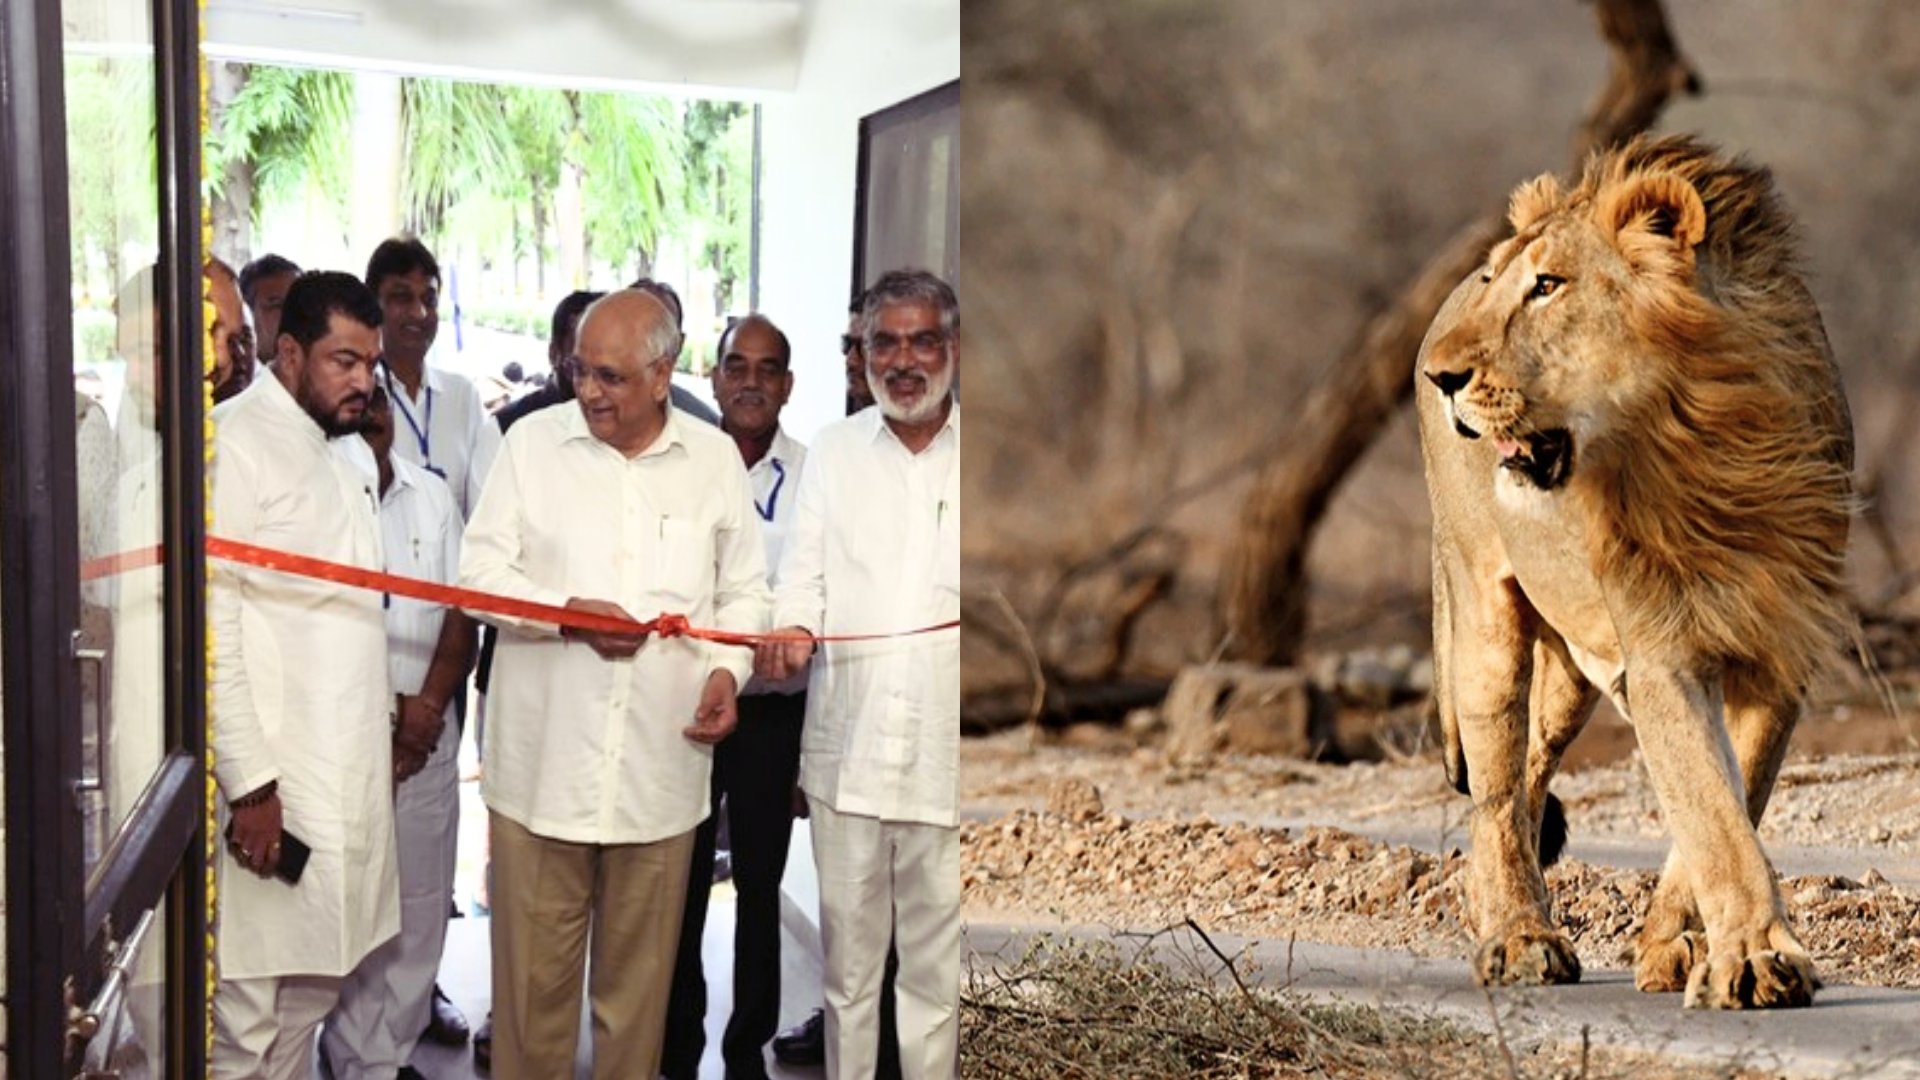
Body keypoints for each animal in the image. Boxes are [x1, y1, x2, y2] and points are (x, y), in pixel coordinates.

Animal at [1420, 136, 1850, 1006]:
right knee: (1494, 791)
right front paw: (1756, 959)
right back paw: (1518, 939)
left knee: (1529, 775)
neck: (1708, 450)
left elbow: (1728, 796)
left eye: (1548, 286)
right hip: (1483, 614)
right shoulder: (1661, 650)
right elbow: (1713, 807)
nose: (1440, 380)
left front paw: (1679, 946)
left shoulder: (1779, 653)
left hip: (1571, 675)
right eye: (1500, 282)